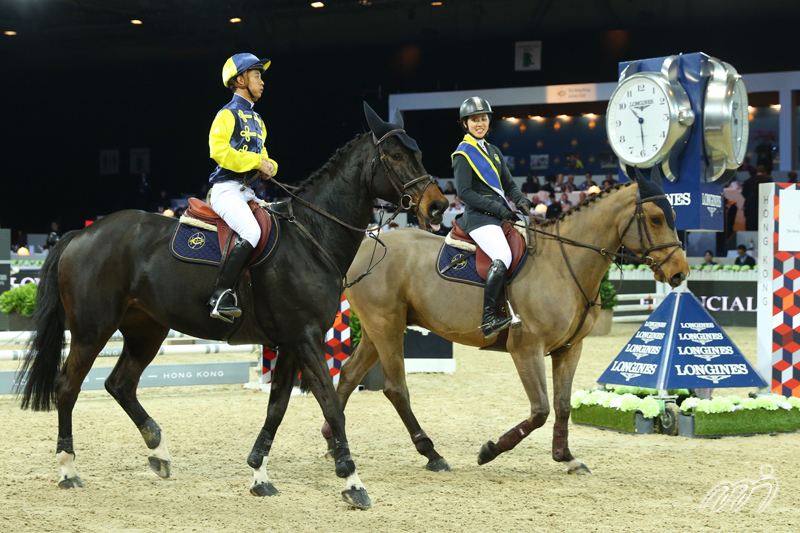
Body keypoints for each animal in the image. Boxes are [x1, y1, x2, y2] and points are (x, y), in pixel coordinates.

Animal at [18, 103, 446, 508]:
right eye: (394, 156)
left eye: (419, 153)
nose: (438, 206)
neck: (311, 237)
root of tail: (82, 233)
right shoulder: (305, 339)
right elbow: (330, 404)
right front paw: (352, 482)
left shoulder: (290, 343)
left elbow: (277, 408)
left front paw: (259, 475)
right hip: (92, 330)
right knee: (68, 386)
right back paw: (68, 470)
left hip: (147, 329)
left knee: (119, 383)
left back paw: (159, 451)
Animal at [328, 168, 692, 472]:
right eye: (656, 218)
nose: (680, 273)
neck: (564, 263)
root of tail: (366, 246)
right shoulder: (526, 349)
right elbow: (541, 409)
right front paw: (490, 450)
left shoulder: (570, 349)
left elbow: (562, 405)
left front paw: (566, 457)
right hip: (386, 327)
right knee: (395, 388)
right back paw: (432, 454)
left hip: (377, 330)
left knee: (347, 375)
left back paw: (333, 442)